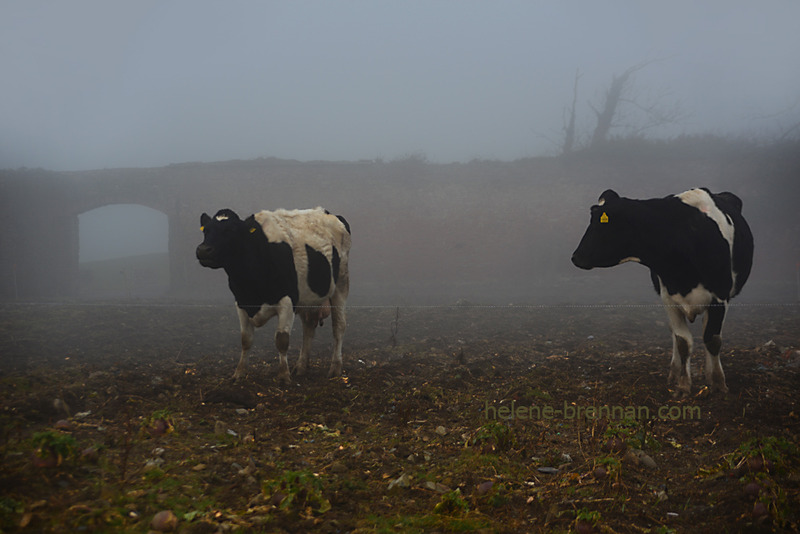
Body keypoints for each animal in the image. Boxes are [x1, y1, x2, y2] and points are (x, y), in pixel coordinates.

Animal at [195, 206, 350, 386]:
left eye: (230, 230)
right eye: (206, 230)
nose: (203, 250)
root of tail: (326, 212)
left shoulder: (287, 301)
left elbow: (282, 340)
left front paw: (283, 376)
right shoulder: (241, 302)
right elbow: (246, 340)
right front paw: (239, 373)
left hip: (341, 284)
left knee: (339, 326)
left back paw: (335, 368)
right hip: (309, 298)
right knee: (309, 327)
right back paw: (301, 366)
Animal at [572, 189, 752, 398]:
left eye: (602, 225)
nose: (576, 257)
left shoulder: (720, 297)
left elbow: (712, 340)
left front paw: (719, 384)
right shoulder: (669, 299)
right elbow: (682, 342)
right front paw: (683, 386)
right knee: (676, 334)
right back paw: (674, 373)